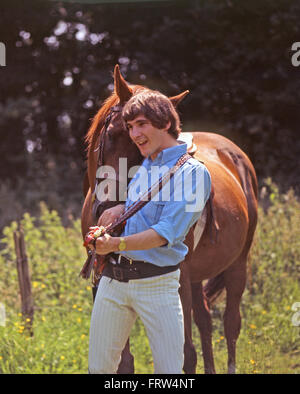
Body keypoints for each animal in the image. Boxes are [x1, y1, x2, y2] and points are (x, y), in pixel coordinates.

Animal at [80, 64, 258, 372]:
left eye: (140, 150)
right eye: (112, 133)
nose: (110, 214)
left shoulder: (179, 277)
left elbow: (186, 353)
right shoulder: (103, 280)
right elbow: (123, 360)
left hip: (235, 265)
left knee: (230, 325)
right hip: (197, 275)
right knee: (205, 320)